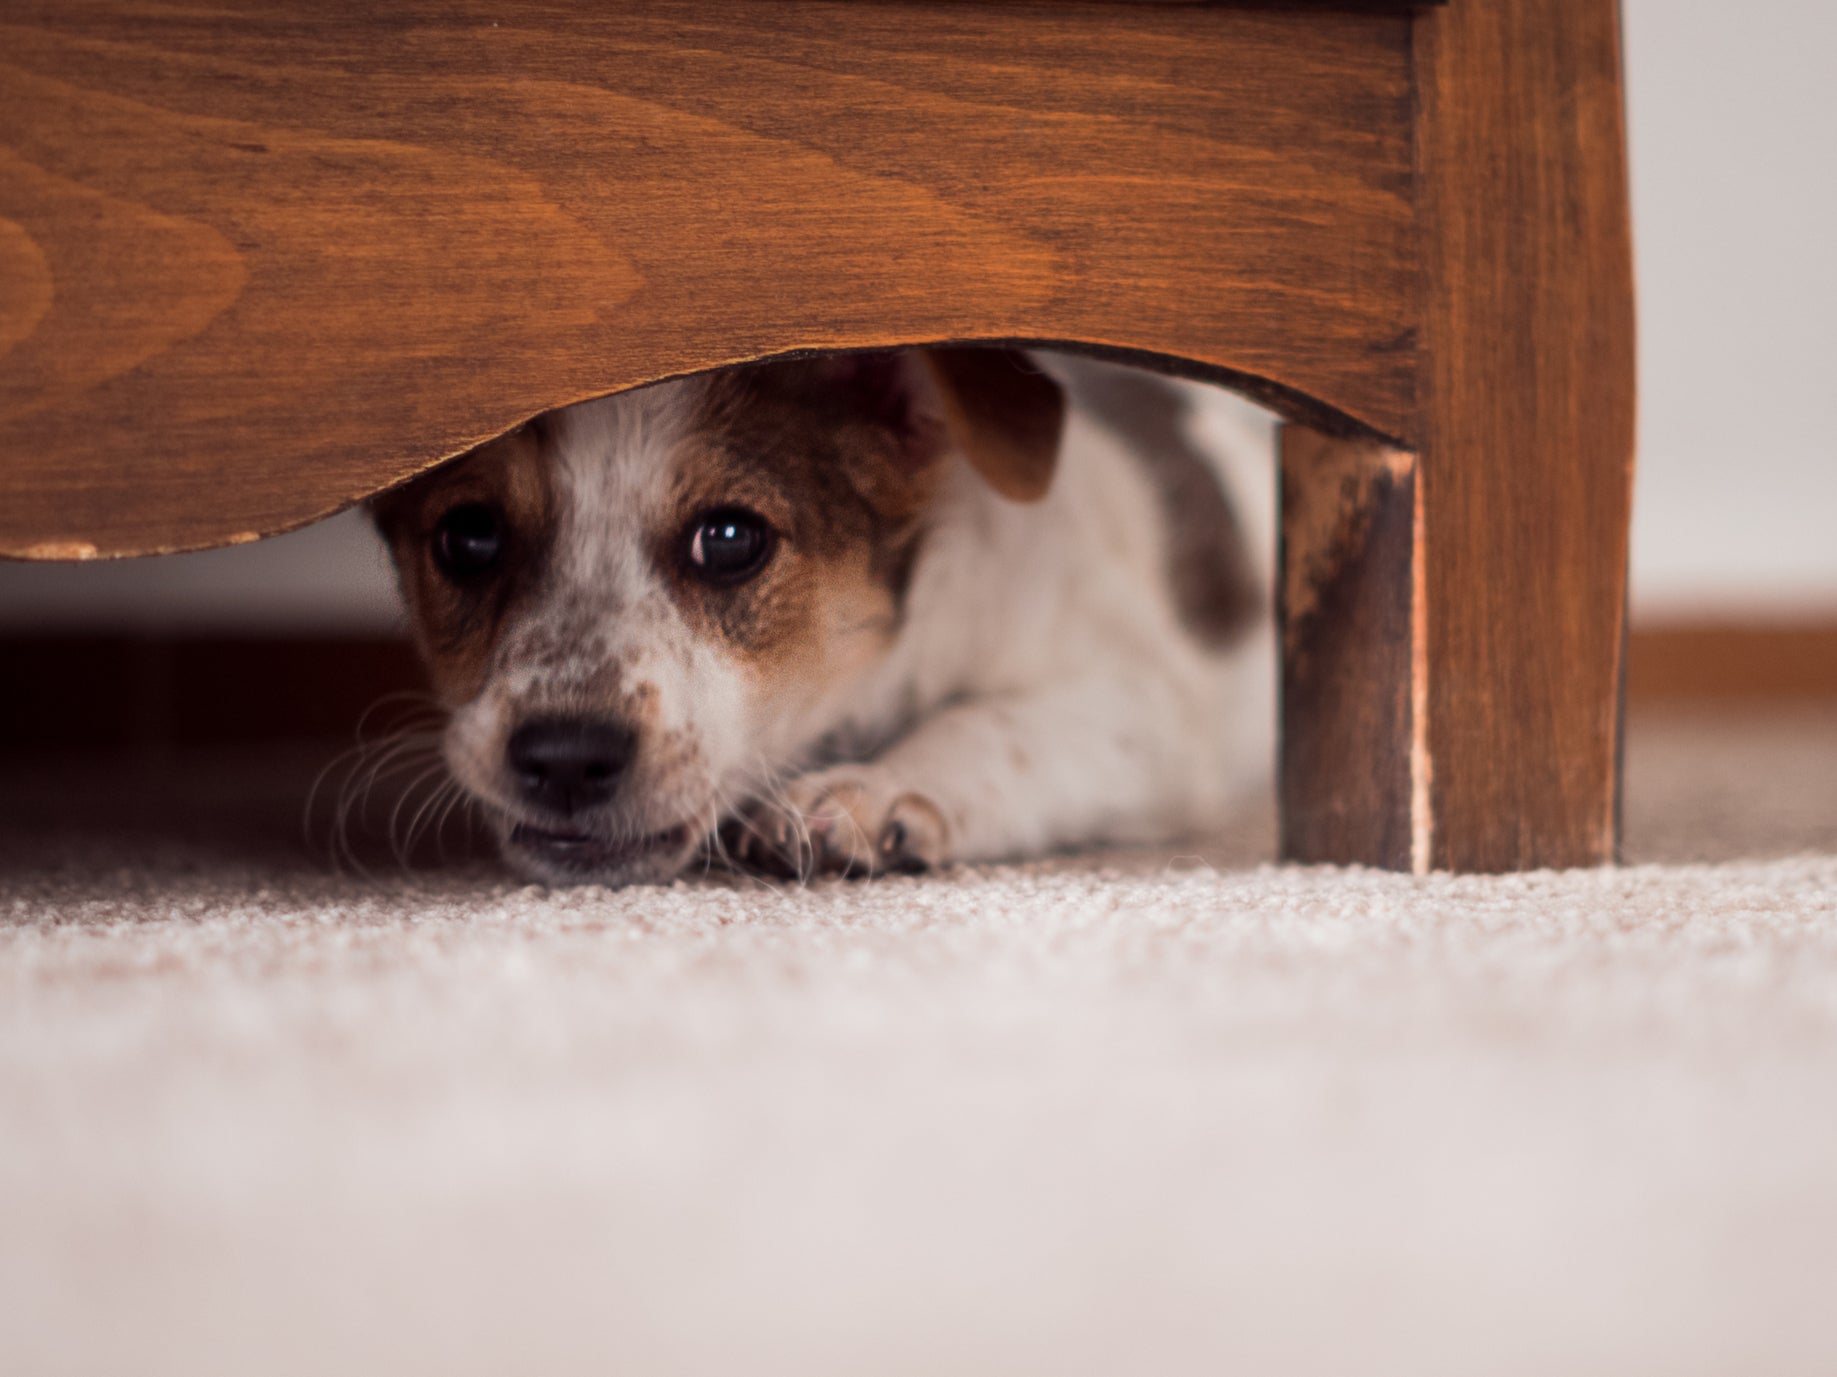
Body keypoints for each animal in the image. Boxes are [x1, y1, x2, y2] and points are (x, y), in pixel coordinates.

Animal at [365, 350, 1271, 888]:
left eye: (731, 539)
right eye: (468, 537)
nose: (564, 758)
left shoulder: (1142, 707)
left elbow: (991, 724)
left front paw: (874, 788)